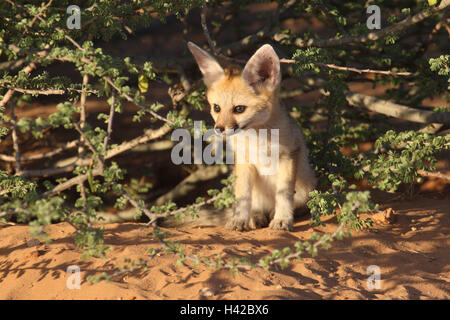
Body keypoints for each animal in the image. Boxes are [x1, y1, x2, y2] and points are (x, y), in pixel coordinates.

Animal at [162, 42, 316, 231]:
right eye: (217, 108)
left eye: (239, 109)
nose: (219, 129)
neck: (258, 141)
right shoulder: (244, 161)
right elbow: (243, 196)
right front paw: (239, 220)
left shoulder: (288, 156)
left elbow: (284, 194)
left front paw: (283, 219)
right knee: (254, 207)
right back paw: (254, 217)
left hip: (305, 188)